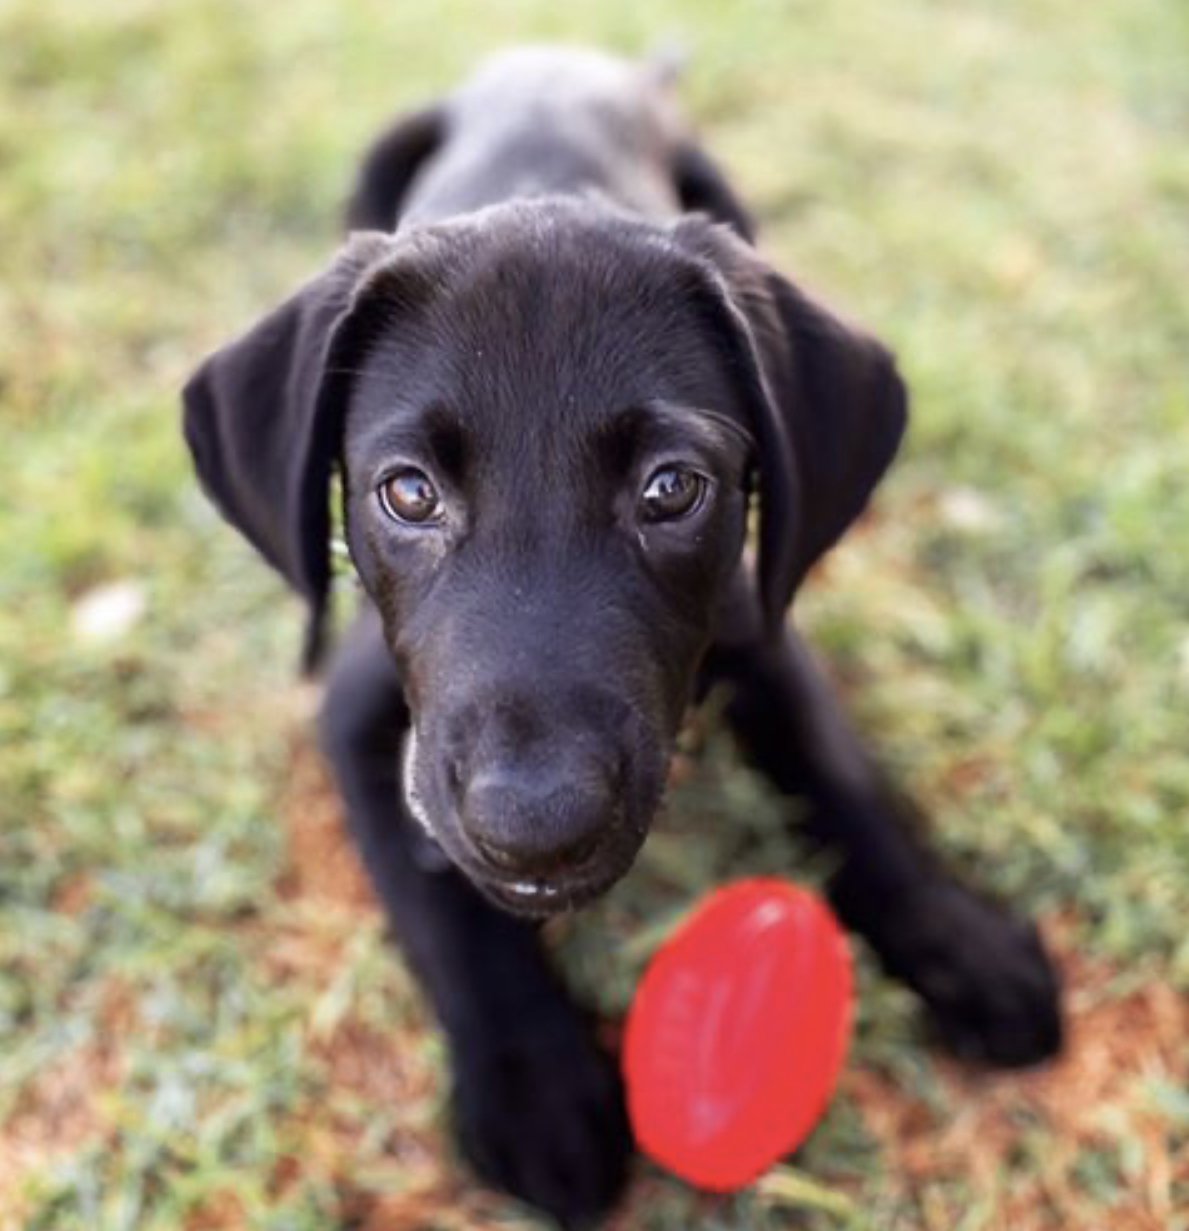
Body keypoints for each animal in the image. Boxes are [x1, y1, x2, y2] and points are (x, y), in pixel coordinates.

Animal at [183, 45, 1063, 1221]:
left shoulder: (761, 621)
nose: (535, 824)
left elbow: (845, 777)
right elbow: (436, 900)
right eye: (407, 492)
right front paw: (535, 1086)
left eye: (671, 488)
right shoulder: (360, 715)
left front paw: (956, 935)